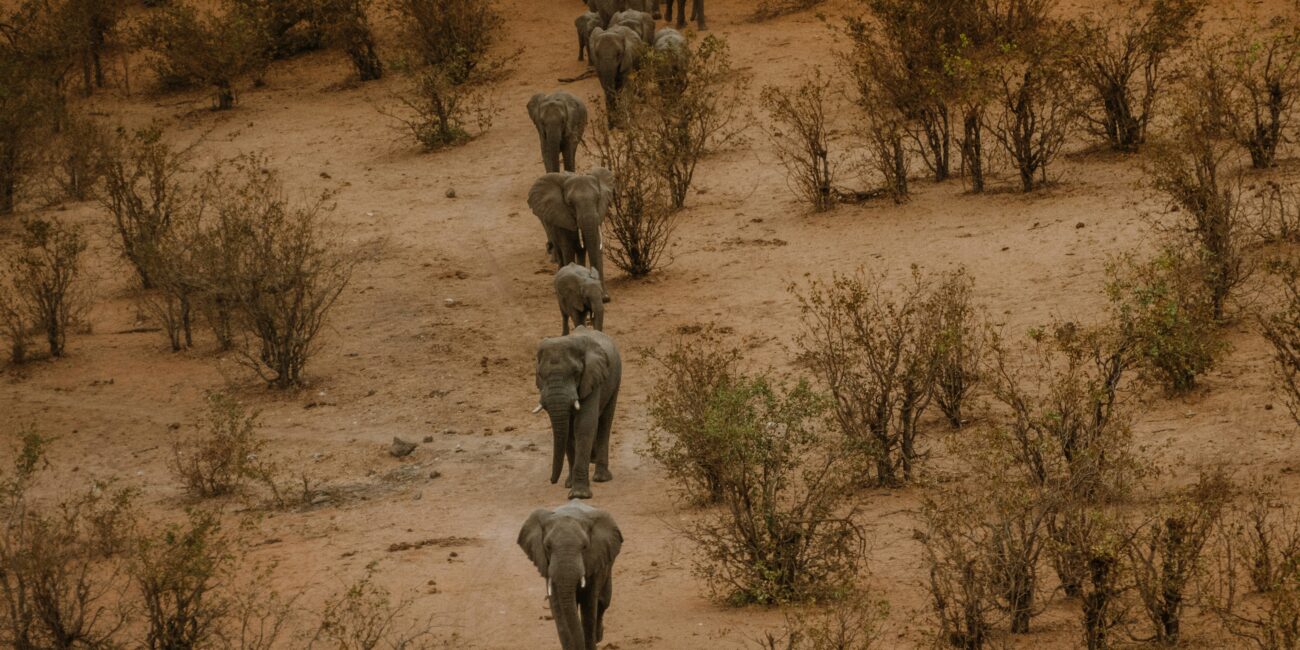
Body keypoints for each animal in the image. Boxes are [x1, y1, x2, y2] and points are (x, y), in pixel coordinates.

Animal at [518, 501, 623, 650]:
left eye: (585, 547)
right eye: (547, 546)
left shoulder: (594, 561)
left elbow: (589, 607)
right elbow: (558, 611)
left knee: (603, 601)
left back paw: (599, 637)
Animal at [528, 169, 614, 303]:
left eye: (598, 198)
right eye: (570, 203)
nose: (605, 298)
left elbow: (595, 247)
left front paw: (604, 297)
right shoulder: (561, 217)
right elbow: (568, 250)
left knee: (580, 251)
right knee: (561, 252)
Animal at [533, 326, 621, 500]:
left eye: (575, 373)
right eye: (540, 375)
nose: (552, 481)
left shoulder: (592, 378)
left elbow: (584, 425)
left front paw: (579, 495)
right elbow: (567, 429)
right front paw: (570, 485)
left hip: (616, 378)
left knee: (605, 422)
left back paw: (601, 478)